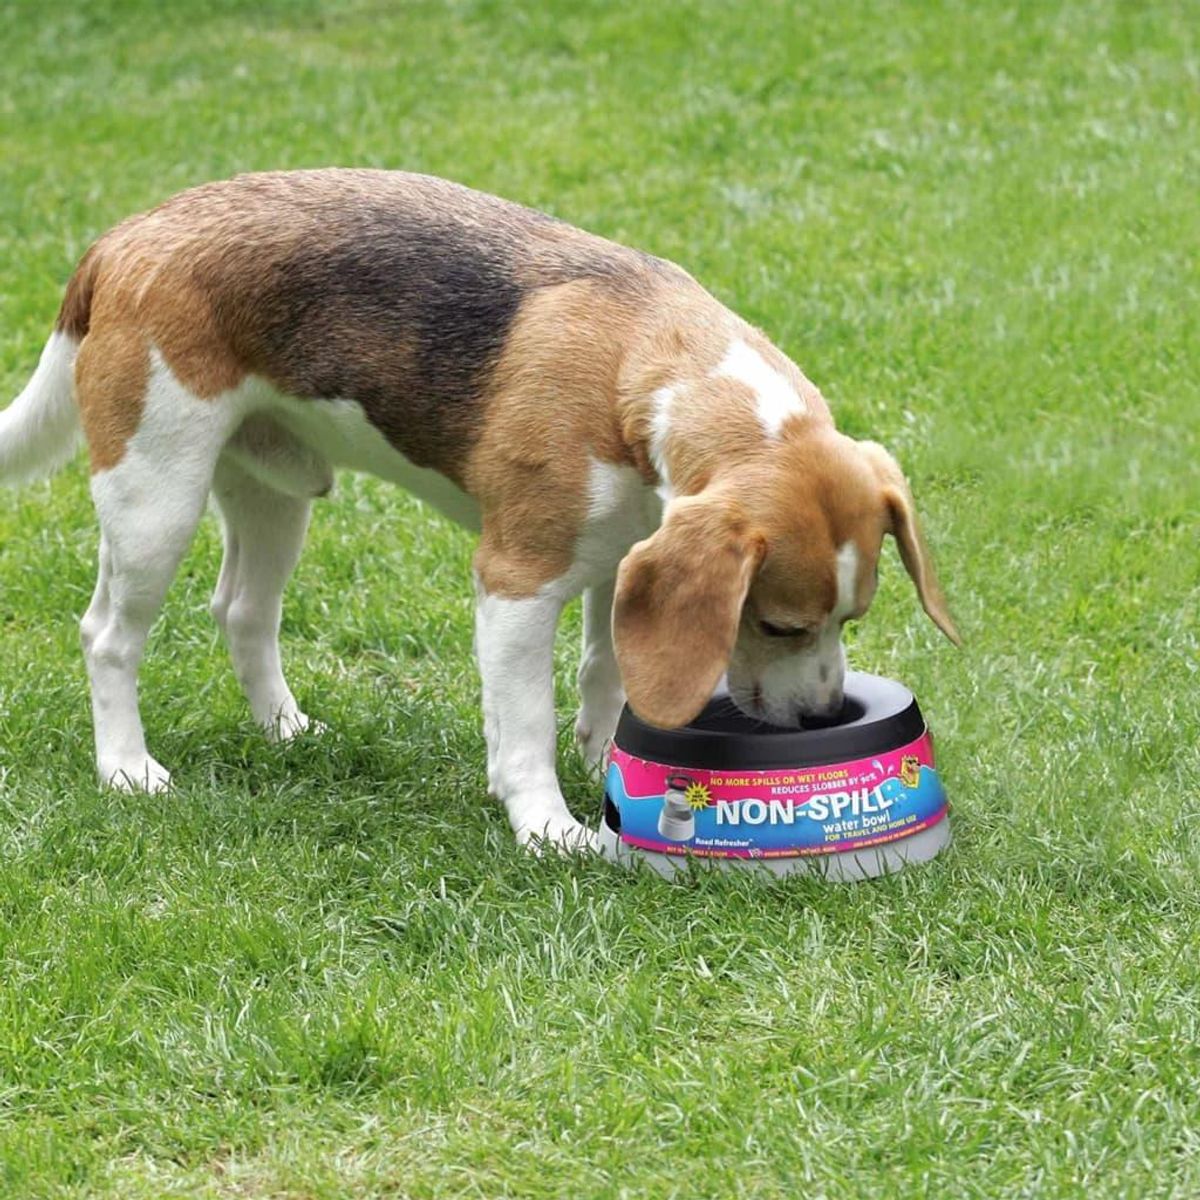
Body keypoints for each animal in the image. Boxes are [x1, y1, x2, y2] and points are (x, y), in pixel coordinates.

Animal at [0, 171, 955, 854]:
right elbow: (524, 721)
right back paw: (128, 768)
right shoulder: (517, 585)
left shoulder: (624, 562)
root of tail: (124, 237)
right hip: (154, 497)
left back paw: (285, 729)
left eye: (853, 618)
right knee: (108, 636)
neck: (647, 375)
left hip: (275, 493)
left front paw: (604, 761)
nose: (825, 721)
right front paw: (548, 827)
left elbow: (606, 674)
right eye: (778, 624)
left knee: (243, 610)